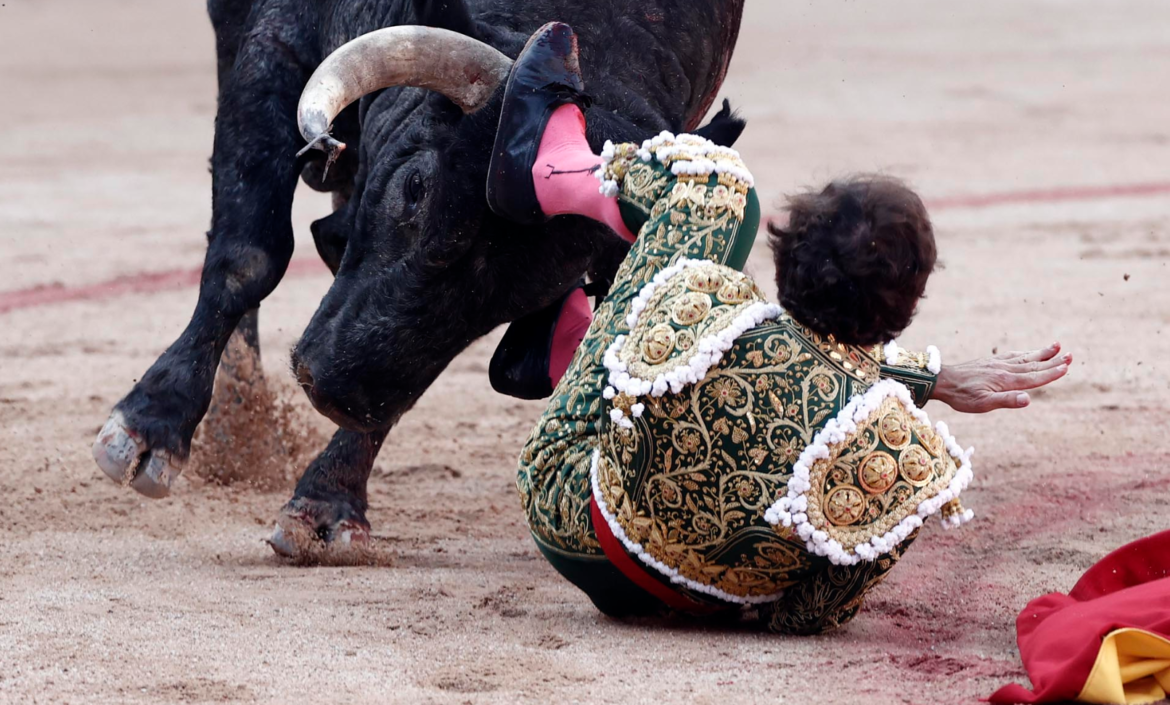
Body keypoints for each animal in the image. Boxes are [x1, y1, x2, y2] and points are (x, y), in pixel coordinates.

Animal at [95, 0, 744, 551]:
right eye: (416, 186)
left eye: (545, 289)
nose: (332, 390)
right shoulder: (273, 46)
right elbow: (249, 255)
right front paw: (151, 424)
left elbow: (404, 379)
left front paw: (328, 502)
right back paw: (238, 420)